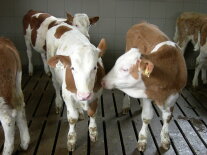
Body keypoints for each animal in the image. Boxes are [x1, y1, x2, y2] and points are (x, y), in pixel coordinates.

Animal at [46, 21, 106, 150]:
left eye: (95, 67)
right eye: (72, 68)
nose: (84, 95)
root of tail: (60, 24)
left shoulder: (97, 94)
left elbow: (93, 113)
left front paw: (93, 132)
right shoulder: (67, 95)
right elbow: (72, 118)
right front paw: (71, 139)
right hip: (52, 68)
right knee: (55, 85)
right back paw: (58, 104)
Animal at [102, 23, 188, 151]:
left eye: (125, 69)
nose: (102, 81)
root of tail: (142, 23)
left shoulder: (174, 97)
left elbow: (167, 117)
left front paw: (165, 139)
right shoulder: (147, 94)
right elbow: (146, 117)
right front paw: (142, 140)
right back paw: (126, 105)